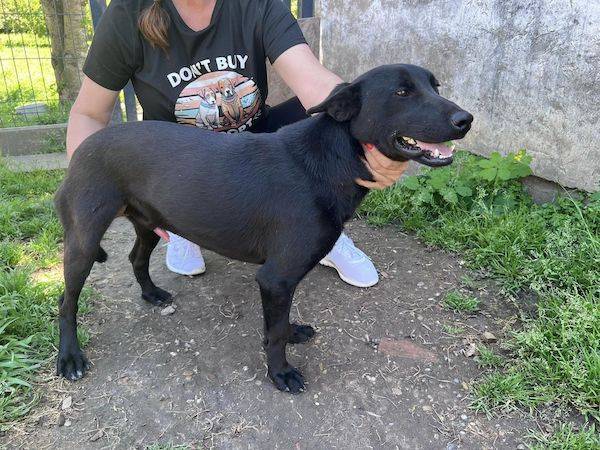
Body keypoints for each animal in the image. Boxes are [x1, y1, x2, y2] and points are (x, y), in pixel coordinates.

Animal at [54, 64, 472, 393]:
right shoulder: (275, 278)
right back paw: (70, 356)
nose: (465, 120)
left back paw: (152, 293)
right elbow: (273, 334)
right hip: (84, 242)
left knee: (136, 258)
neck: (329, 161)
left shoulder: (283, 283)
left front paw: (293, 332)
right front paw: (280, 372)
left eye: (435, 87)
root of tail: (83, 146)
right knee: (66, 301)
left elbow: (282, 323)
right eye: (401, 92)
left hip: (147, 223)